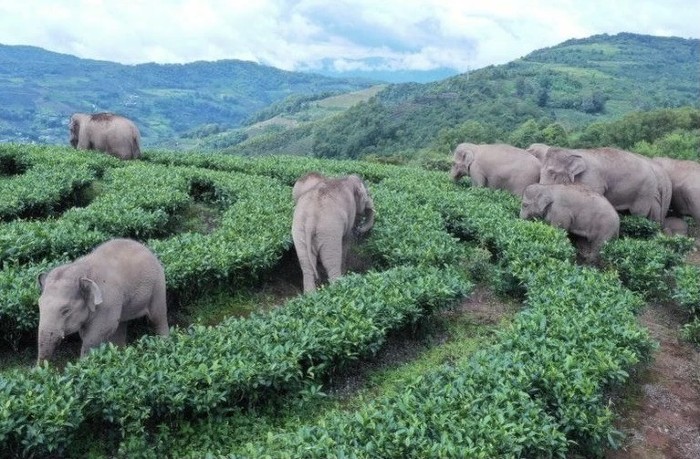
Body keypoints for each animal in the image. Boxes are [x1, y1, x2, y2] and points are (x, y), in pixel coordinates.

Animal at [37, 239, 170, 364]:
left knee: (158, 317)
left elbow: (97, 333)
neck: (82, 269)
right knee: (120, 324)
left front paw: (84, 364)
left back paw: (164, 343)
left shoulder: (107, 302)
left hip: (158, 285)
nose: (42, 368)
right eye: (39, 306)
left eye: (66, 310)